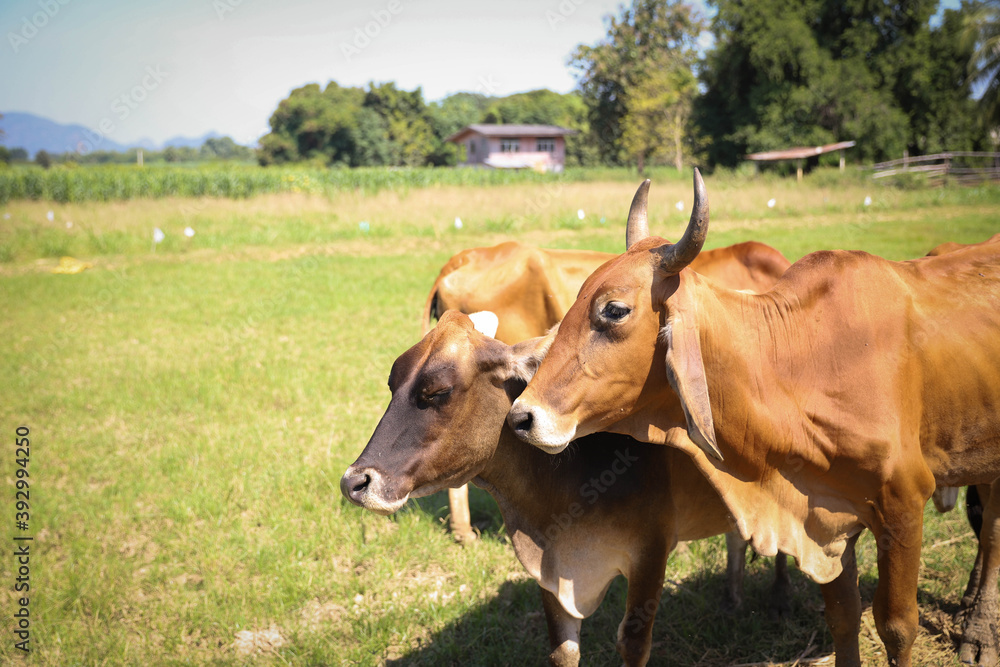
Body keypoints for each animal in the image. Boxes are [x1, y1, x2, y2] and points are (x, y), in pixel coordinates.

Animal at [508, 174, 1000, 667]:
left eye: (614, 310)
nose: (521, 417)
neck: (799, 367)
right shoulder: (827, 521)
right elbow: (843, 616)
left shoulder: (904, 504)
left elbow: (897, 628)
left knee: (992, 534)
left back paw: (978, 630)